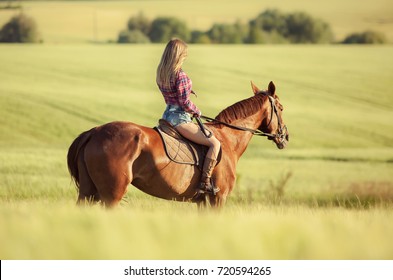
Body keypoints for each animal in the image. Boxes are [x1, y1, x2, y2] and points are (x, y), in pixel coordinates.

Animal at [66, 81, 288, 208]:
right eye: (281, 107)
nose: (285, 136)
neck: (228, 138)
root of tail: (94, 132)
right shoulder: (218, 199)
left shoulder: (203, 203)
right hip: (111, 195)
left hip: (88, 193)